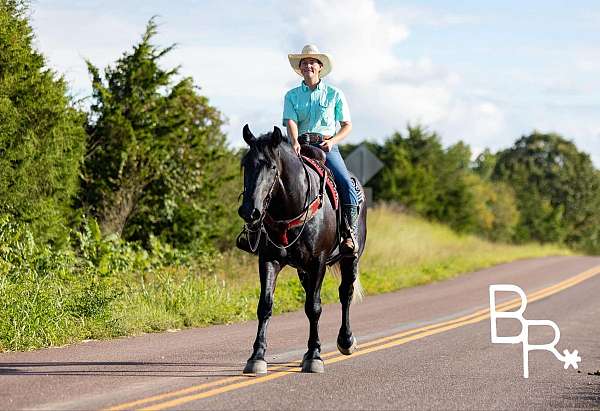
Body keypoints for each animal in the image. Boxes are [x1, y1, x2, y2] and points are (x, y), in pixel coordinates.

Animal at [238, 124, 366, 374]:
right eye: (245, 164)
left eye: (272, 166)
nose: (250, 211)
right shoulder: (269, 260)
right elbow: (265, 305)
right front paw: (257, 356)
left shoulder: (318, 263)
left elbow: (313, 308)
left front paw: (314, 356)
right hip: (302, 270)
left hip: (350, 258)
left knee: (345, 293)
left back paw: (346, 341)